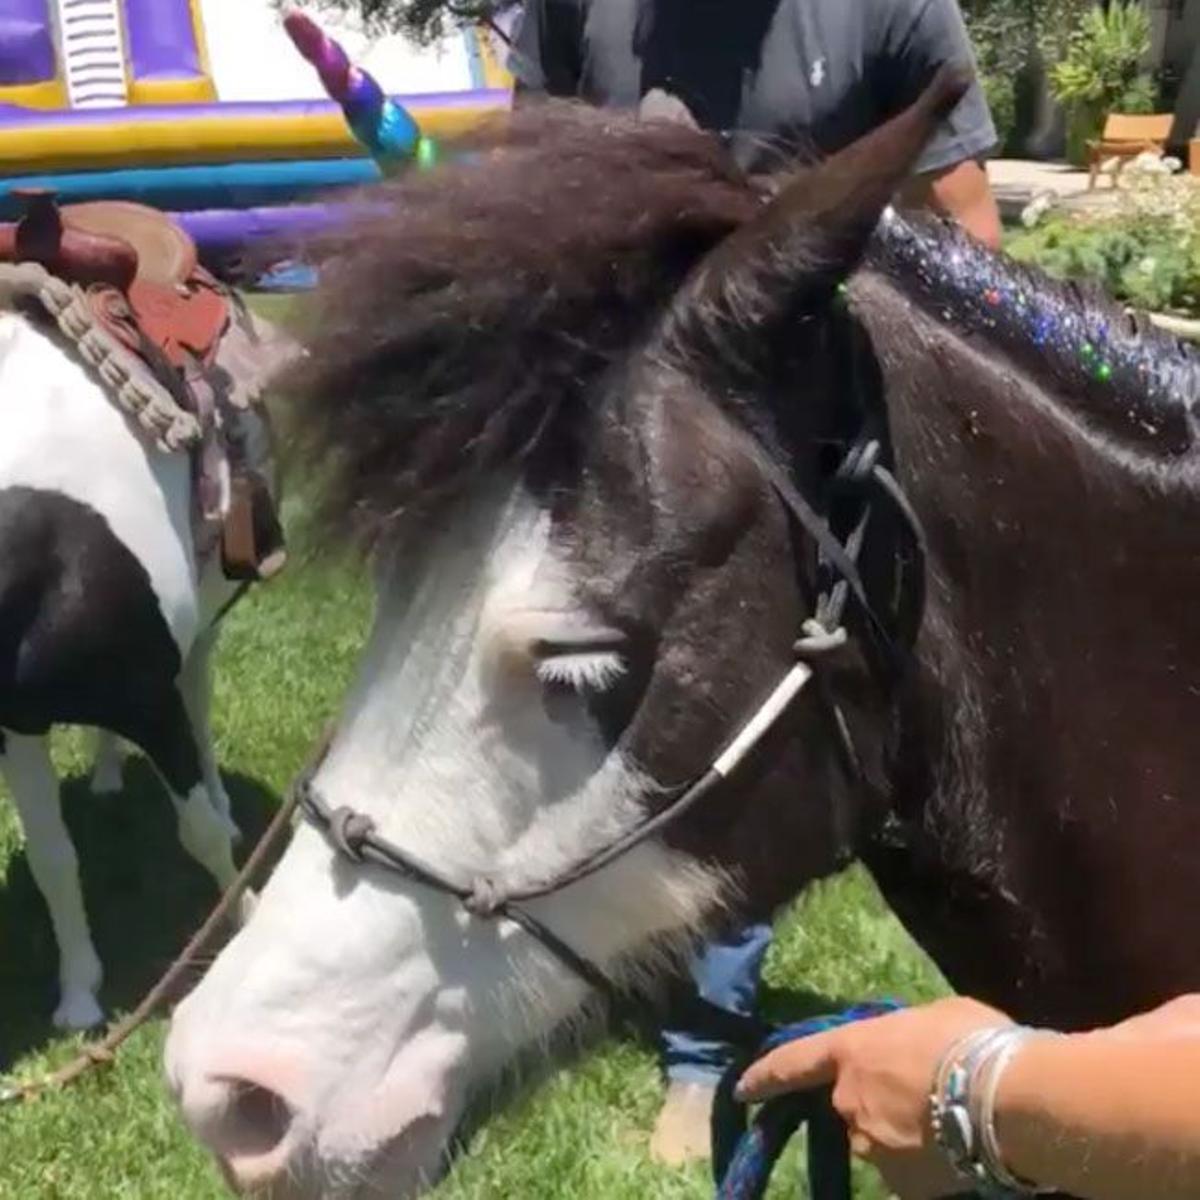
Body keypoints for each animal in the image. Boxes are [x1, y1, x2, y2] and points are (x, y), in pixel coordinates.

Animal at [0, 248, 283, 1027]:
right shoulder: (17, 723)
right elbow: (52, 858)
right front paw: (78, 994)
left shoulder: (149, 700)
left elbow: (200, 834)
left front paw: (244, 918)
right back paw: (104, 775)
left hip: (202, 629)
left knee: (200, 702)